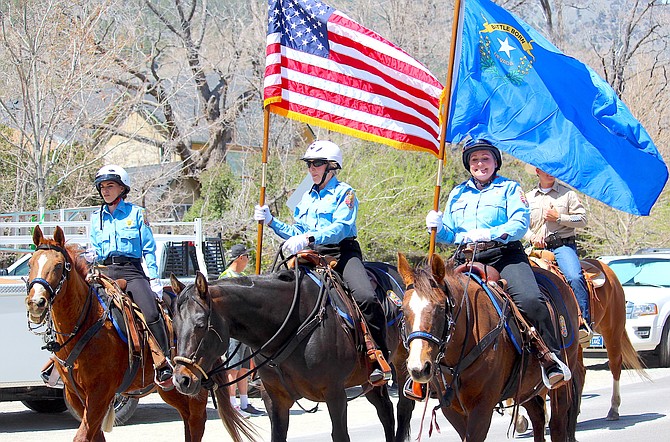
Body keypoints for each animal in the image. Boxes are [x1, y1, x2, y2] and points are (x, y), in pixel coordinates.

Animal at [23, 228, 252, 442]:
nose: (36, 302)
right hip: (172, 387)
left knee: (196, 421)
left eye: (58, 265)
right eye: (31, 264)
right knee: (187, 417)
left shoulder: (100, 393)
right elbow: (95, 435)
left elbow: (82, 436)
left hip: (193, 381)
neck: (86, 323)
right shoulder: (75, 395)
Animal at [171, 264, 418, 440]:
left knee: (403, 408)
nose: (181, 379)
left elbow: (340, 435)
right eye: (174, 324)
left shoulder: (335, 394)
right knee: (386, 412)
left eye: (200, 324)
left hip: (404, 364)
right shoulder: (274, 399)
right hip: (369, 381)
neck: (291, 324)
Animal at [400, 252, 588, 442]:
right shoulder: (451, 409)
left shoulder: (482, 407)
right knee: (538, 417)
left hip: (562, 384)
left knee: (557, 424)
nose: (419, 368)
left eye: (439, 309)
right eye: (403, 311)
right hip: (526, 388)